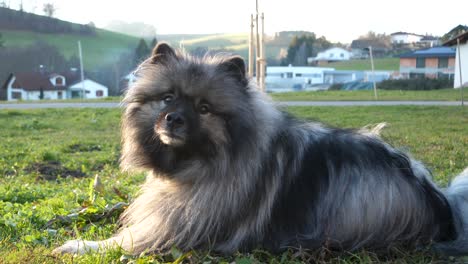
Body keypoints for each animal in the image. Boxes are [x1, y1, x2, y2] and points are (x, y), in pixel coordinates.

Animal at [54, 42, 468, 256]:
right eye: (168, 97)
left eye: (204, 108)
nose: (173, 119)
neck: (196, 163)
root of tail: (438, 201)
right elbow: (117, 208)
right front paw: (70, 217)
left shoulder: (176, 229)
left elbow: (120, 242)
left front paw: (79, 244)